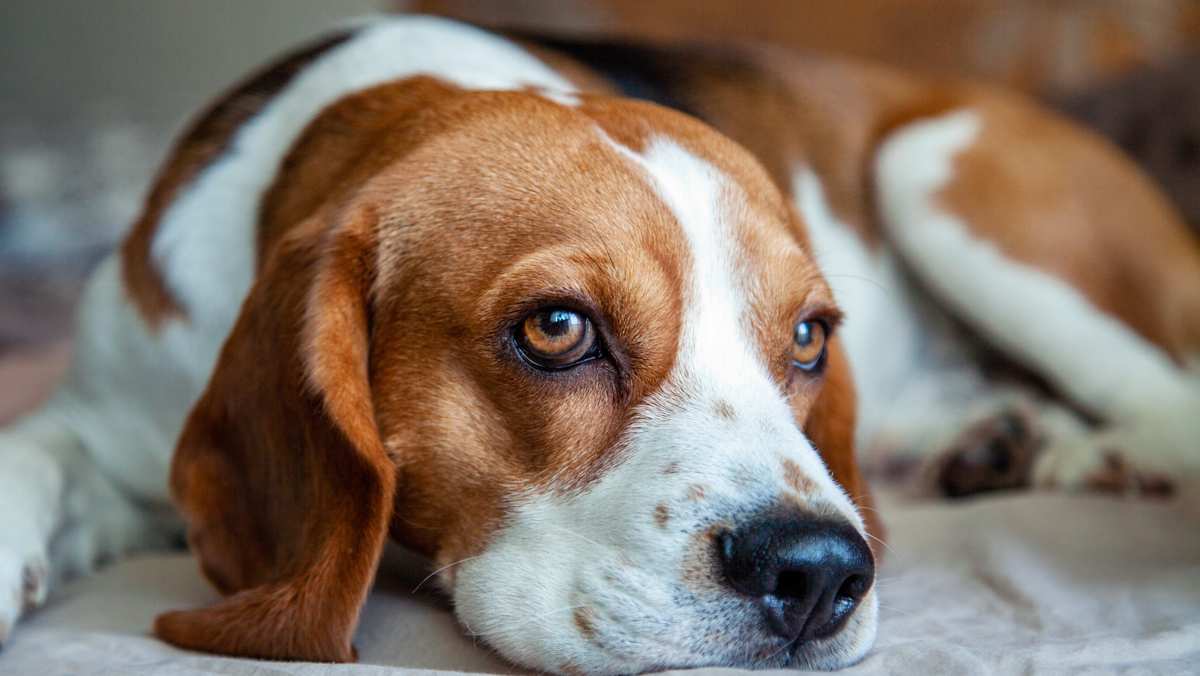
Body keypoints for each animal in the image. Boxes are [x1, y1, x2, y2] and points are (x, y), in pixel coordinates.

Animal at [0, 13, 1195, 672]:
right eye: (558, 328)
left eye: (808, 336)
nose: (819, 574)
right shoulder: (115, 410)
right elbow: (29, 452)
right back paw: (1003, 441)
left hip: (936, 170)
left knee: (1164, 396)